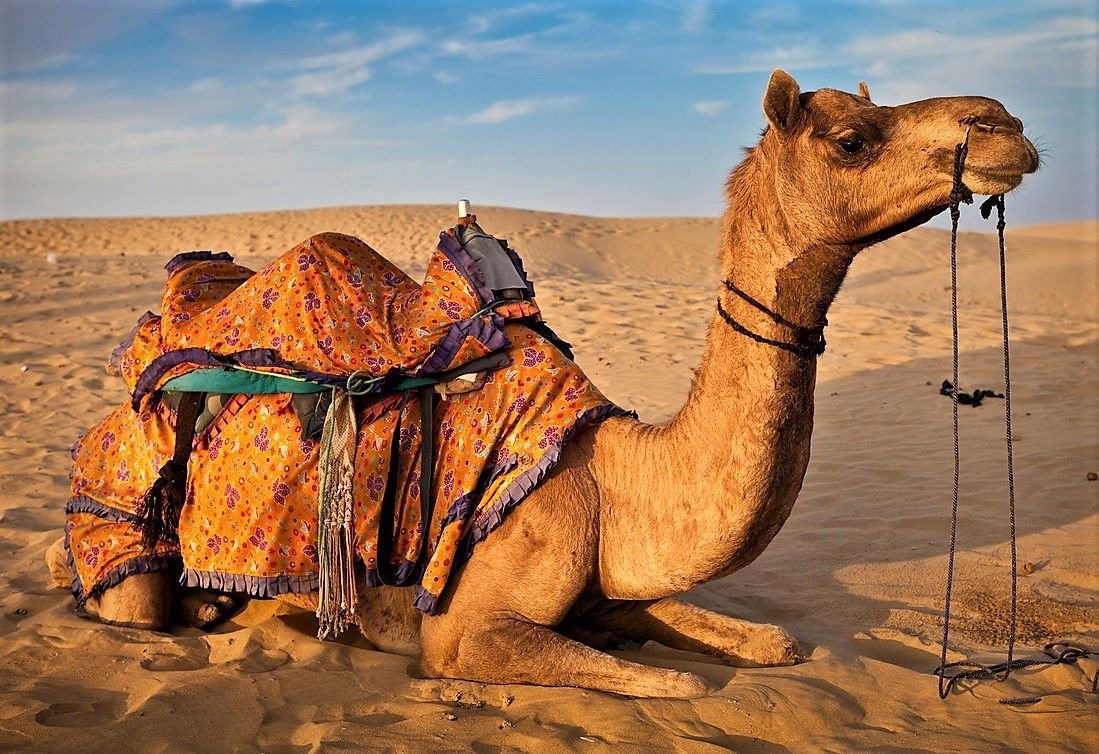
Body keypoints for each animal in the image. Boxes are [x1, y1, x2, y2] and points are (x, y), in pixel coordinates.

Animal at [47, 70, 1038, 698]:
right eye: (850, 138)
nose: (1005, 125)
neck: (613, 480)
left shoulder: (614, 583)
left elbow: (772, 639)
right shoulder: (465, 630)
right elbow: (676, 685)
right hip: (123, 519)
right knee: (121, 591)